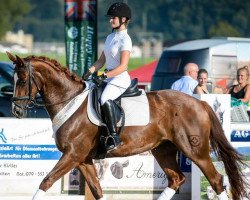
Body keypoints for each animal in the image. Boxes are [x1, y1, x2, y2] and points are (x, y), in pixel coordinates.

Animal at [6, 52, 247, 199]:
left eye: (23, 80)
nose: (16, 111)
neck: (69, 100)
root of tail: (200, 103)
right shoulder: (83, 159)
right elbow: (97, 190)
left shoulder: (73, 155)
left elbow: (46, 182)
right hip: (163, 149)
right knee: (176, 179)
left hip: (195, 150)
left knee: (216, 180)